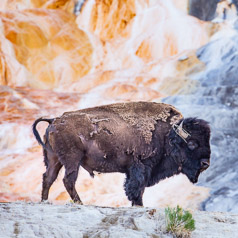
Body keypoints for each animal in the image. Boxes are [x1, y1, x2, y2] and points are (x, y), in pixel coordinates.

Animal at [32, 101, 211, 205]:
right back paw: (80, 203)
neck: (168, 135)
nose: (206, 163)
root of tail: (54, 120)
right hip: (72, 160)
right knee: (68, 180)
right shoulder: (140, 167)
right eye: (192, 143)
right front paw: (139, 205)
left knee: (48, 177)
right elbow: (136, 190)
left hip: (54, 159)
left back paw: (44, 201)